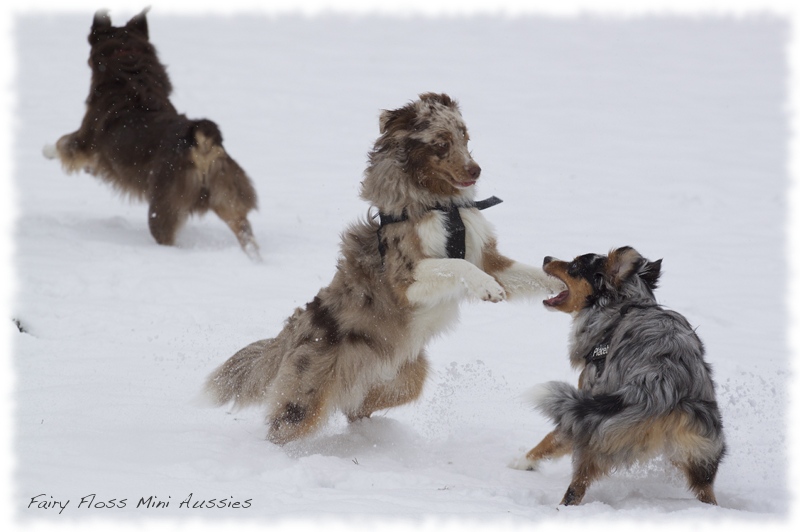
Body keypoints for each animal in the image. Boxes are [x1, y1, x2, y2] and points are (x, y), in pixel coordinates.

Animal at [43, 9, 260, 260]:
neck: (129, 69)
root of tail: (201, 143)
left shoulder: (85, 139)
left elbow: (63, 142)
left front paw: (46, 150)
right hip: (227, 197)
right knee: (245, 234)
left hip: (164, 206)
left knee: (167, 239)